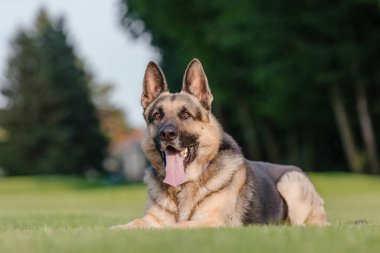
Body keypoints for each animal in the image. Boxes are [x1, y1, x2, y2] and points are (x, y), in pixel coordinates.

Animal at [112, 58, 326, 229]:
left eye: (186, 114)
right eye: (157, 115)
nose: (167, 134)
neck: (182, 186)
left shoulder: (211, 221)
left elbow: (174, 226)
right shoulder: (150, 219)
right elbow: (130, 225)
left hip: (291, 181)